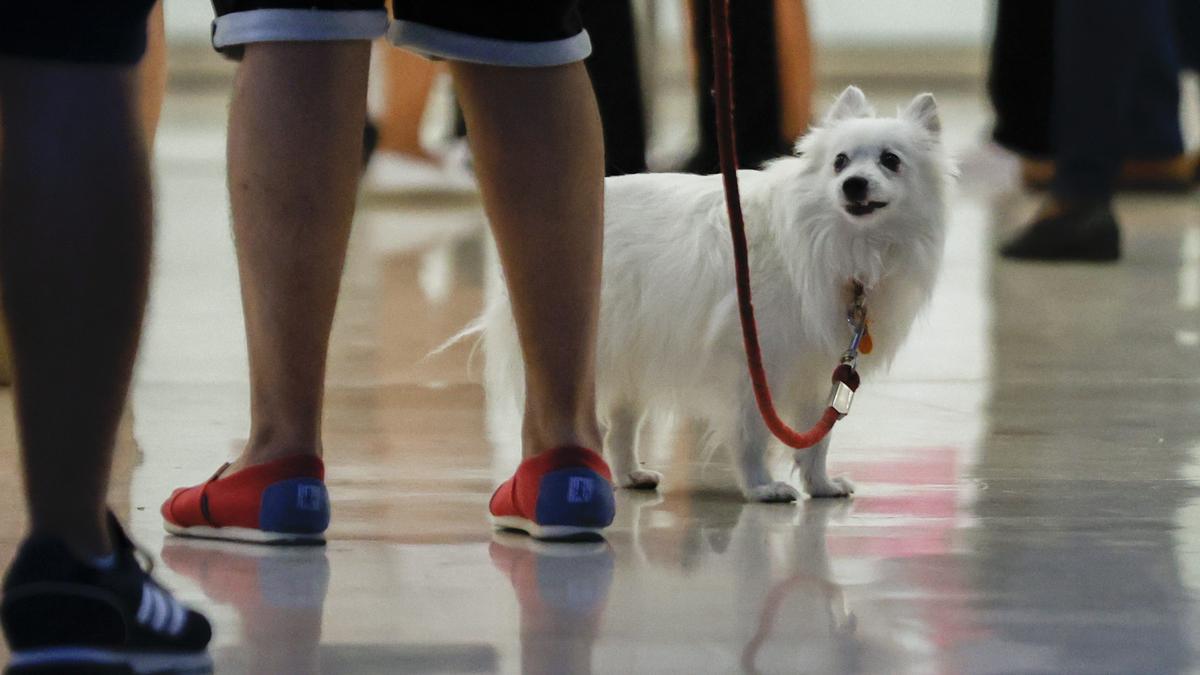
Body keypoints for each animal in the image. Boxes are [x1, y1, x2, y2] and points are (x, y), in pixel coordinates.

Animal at [468, 86, 945, 499]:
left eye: (890, 161)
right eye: (840, 162)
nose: (853, 184)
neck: (845, 244)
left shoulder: (817, 370)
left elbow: (816, 437)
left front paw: (821, 485)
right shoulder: (753, 364)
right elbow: (754, 432)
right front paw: (761, 487)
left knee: (622, 425)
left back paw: (630, 474)